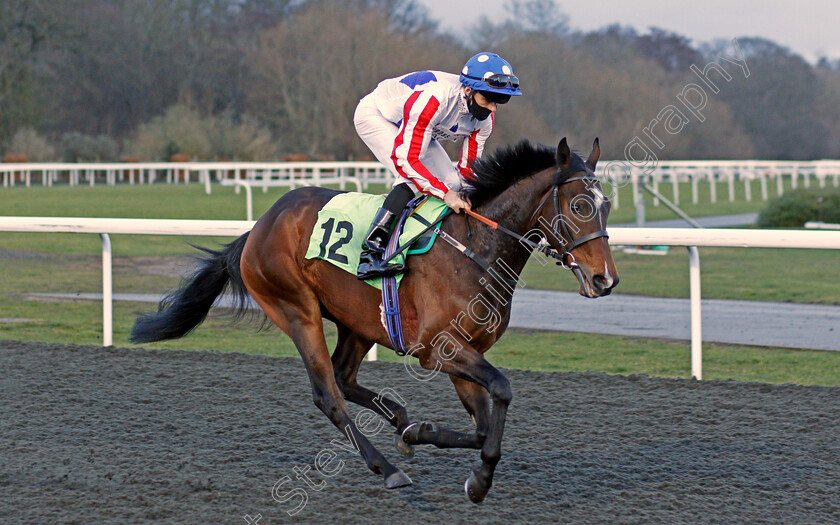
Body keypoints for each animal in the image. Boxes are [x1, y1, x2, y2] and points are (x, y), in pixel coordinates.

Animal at [130, 136, 616, 504]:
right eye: (578, 206)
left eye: (606, 204)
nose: (605, 279)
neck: (476, 248)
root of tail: (259, 226)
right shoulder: (438, 349)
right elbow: (503, 388)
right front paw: (478, 482)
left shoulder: (462, 351)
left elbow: (481, 427)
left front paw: (420, 433)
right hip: (297, 309)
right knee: (328, 394)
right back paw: (386, 467)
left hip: (360, 321)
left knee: (345, 379)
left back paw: (399, 422)